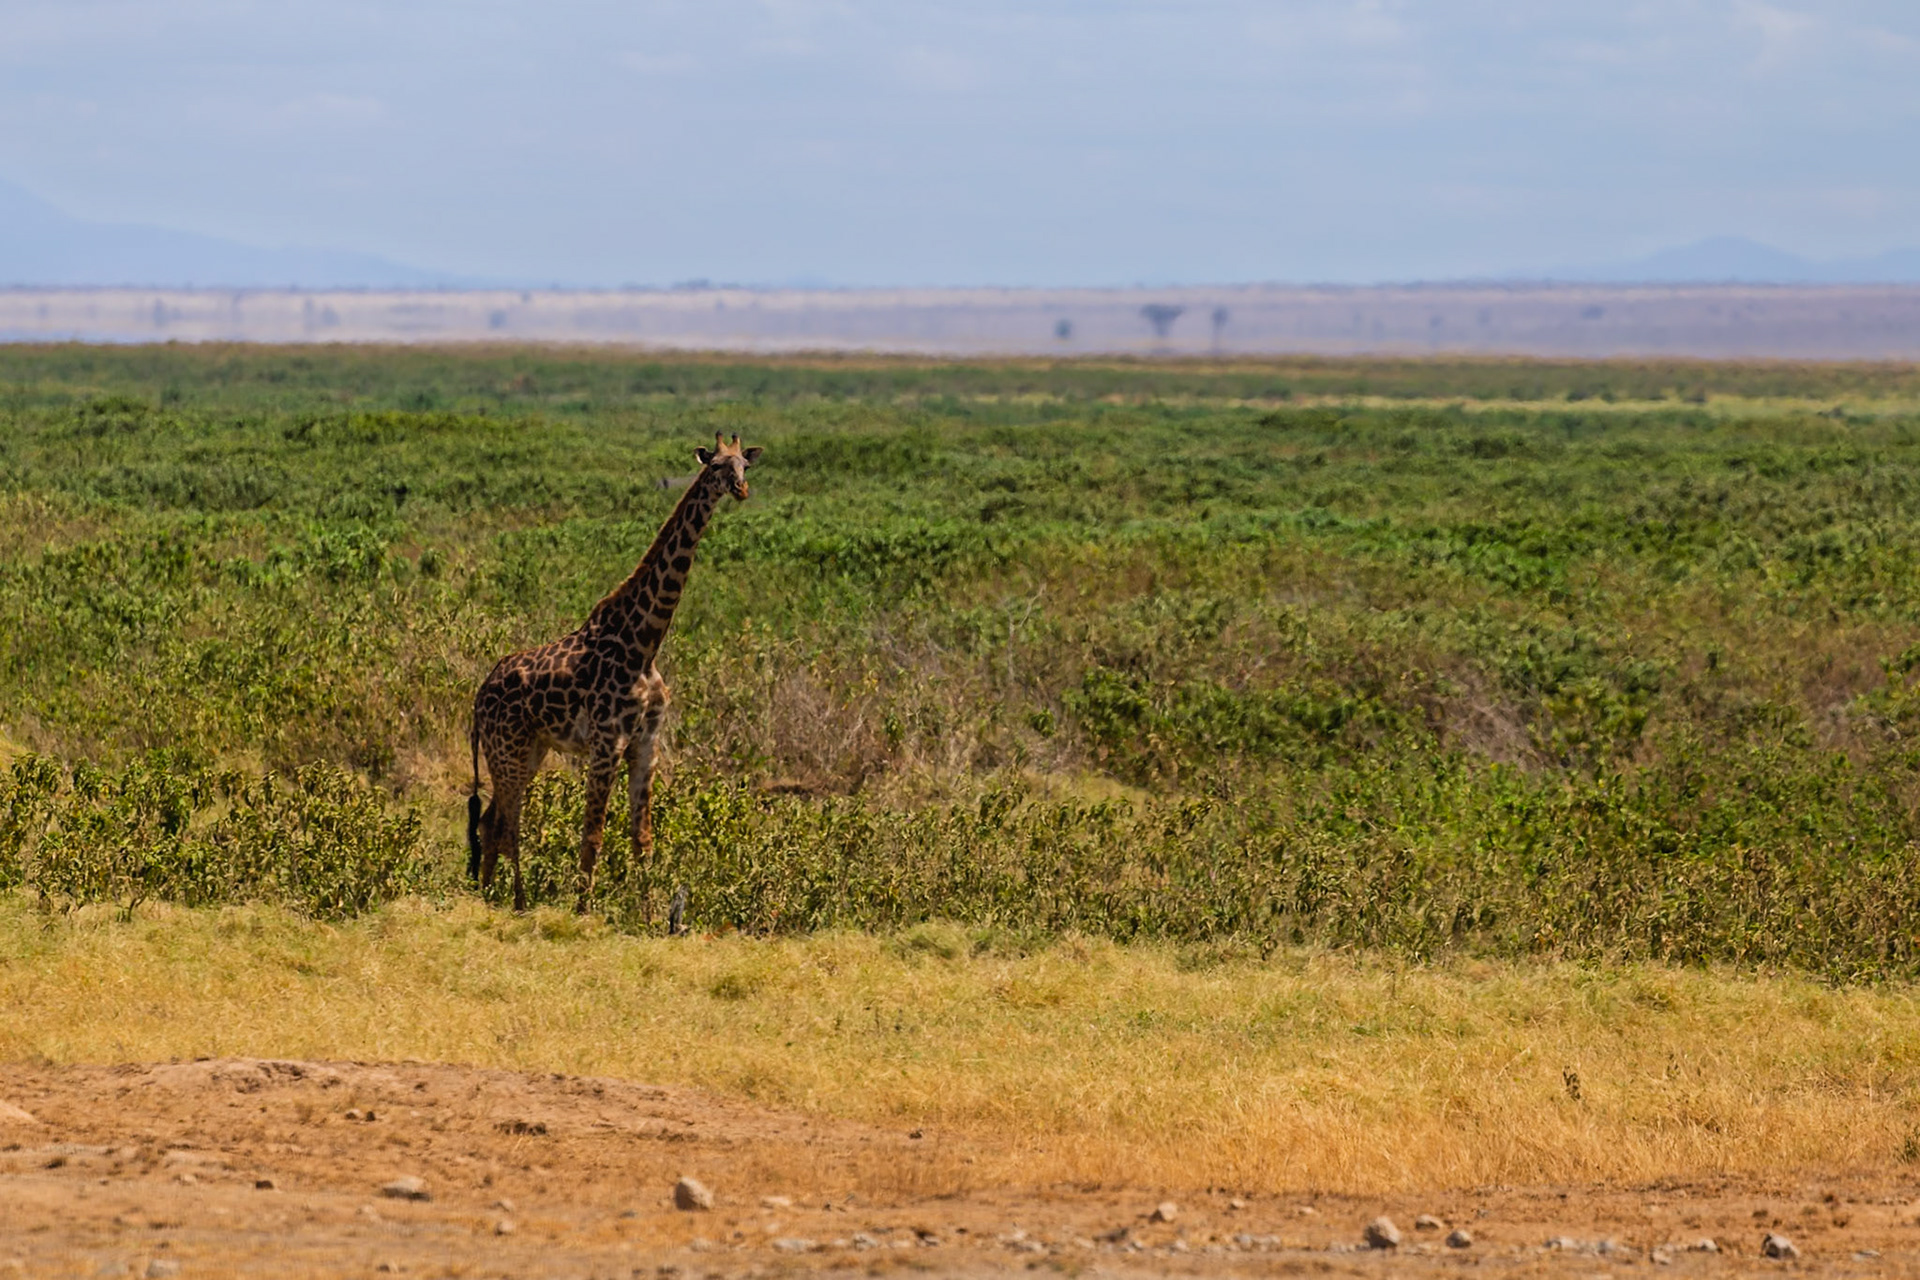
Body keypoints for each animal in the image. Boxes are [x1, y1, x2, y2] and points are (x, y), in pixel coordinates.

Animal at [467, 433, 762, 913]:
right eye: (716, 465)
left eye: (745, 466)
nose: (740, 489)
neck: (644, 644)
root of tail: (477, 698)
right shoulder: (606, 744)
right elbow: (593, 836)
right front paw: (583, 910)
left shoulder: (645, 744)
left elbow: (642, 838)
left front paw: (649, 912)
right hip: (505, 749)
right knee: (506, 825)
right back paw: (516, 902)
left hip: (529, 750)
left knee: (493, 821)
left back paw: (488, 898)